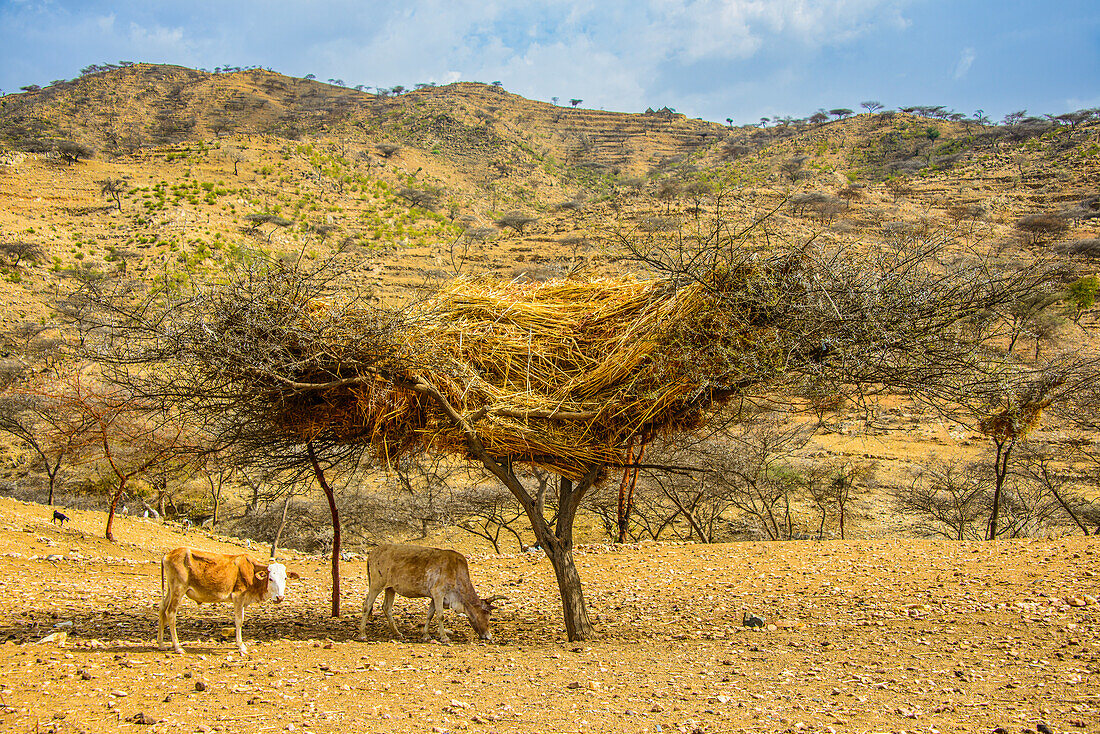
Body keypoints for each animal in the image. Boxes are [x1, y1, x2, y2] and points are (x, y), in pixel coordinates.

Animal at [157, 548, 299, 655]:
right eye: (270, 579)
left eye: (285, 578)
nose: (280, 597)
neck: (252, 573)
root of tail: (168, 554)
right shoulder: (238, 597)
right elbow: (239, 621)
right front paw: (240, 645)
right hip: (178, 589)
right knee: (170, 613)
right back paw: (177, 646)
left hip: (171, 589)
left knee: (162, 609)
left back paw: (161, 644)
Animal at [356, 545, 503, 642]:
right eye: (487, 614)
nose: (488, 636)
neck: (456, 572)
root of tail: (372, 553)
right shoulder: (438, 593)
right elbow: (440, 615)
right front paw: (444, 637)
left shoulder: (434, 596)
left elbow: (430, 615)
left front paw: (426, 635)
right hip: (376, 585)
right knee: (367, 605)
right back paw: (362, 634)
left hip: (390, 588)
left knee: (386, 608)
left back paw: (397, 633)